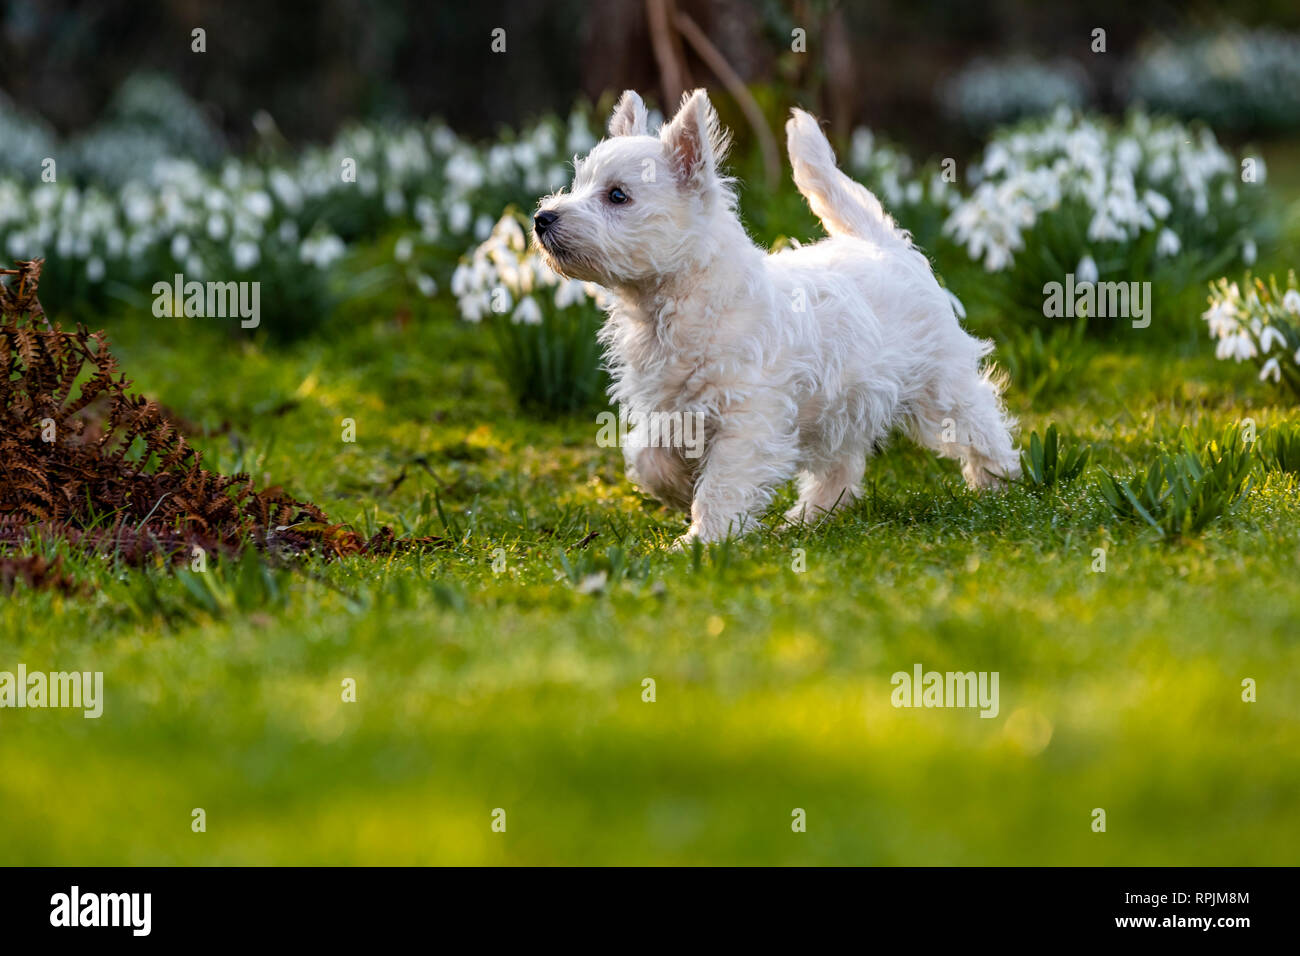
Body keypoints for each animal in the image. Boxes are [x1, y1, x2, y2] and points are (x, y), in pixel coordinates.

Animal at [533, 89, 1019, 546]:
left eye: (618, 195)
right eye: (578, 184)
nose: (542, 217)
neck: (673, 304)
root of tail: (884, 245)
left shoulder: (747, 418)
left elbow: (723, 484)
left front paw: (703, 540)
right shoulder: (668, 407)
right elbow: (646, 456)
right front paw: (679, 488)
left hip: (938, 381)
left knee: (979, 418)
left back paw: (1001, 483)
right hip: (842, 405)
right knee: (840, 468)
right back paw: (807, 519)